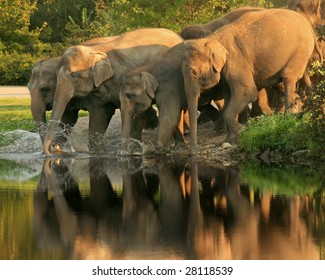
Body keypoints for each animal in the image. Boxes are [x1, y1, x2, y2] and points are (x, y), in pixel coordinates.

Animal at [42, 27, 182, 155]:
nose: (52, 151)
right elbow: (101, 115)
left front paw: (133, 151)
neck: (97, 51)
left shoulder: (124, 77)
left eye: (74, 76)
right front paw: (98, 152)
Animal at [180, 8, 322, 154]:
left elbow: (247, 92)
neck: (212, 38)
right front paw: (230, 138)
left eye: (194, 72)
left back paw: (288, 116)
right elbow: (229, 96)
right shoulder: (225, 72)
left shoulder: (236, 62)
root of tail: (309, 26)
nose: (192, 153)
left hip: (301, 50)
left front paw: (241, 130)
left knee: (288, 77)